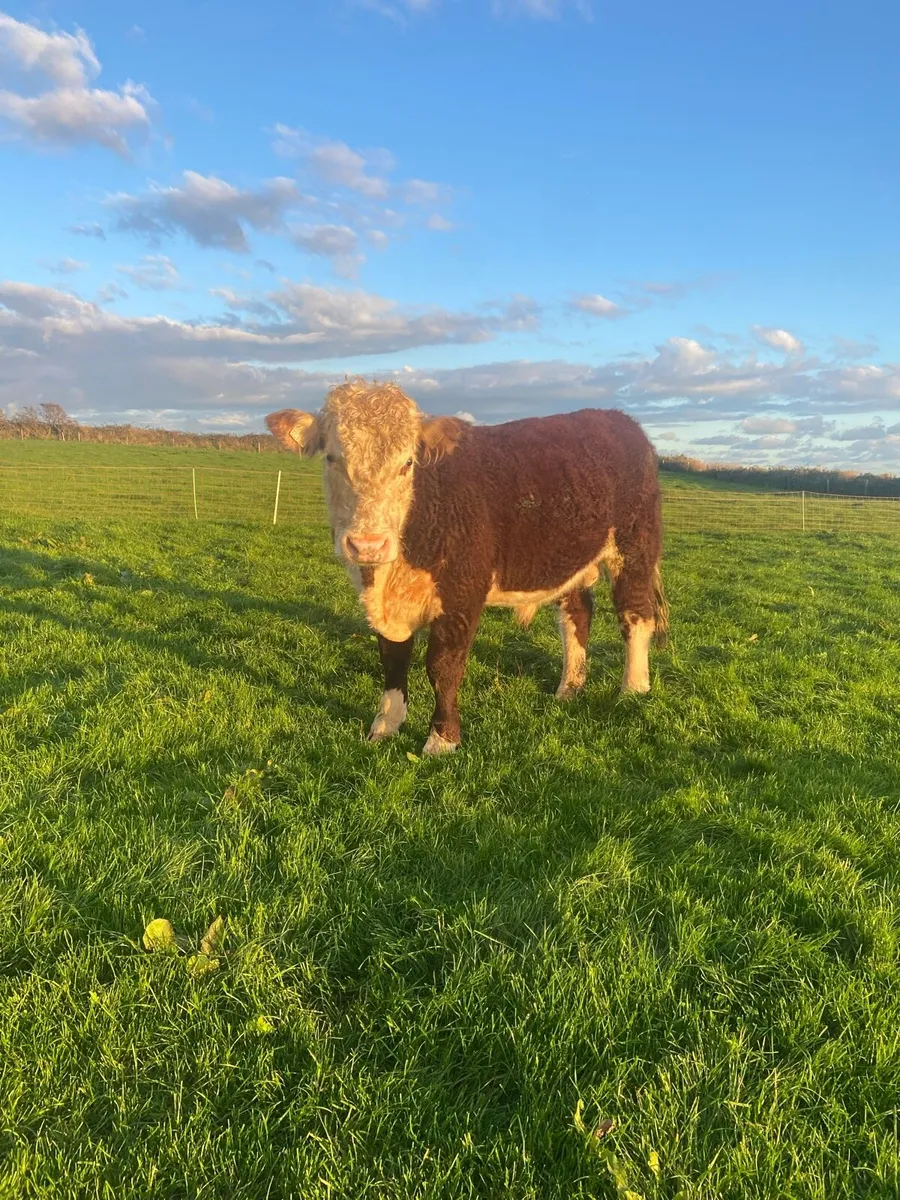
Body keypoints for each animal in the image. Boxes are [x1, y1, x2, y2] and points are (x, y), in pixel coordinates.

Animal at [266, 380, 668, 755]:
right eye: (332, 458)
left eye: (407, 463)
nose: (367, 544)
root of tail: (618, 419)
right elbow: (393, 659)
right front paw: (385, 725)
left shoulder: (463, 592)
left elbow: (443, 665)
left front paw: (441, 740)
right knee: (577, 615)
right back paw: (569, 687)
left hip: (635, 546)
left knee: (635, 615)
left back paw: (633, 688)